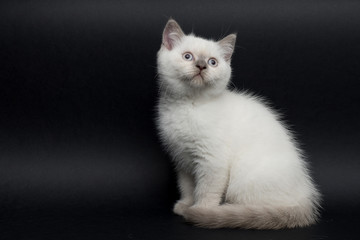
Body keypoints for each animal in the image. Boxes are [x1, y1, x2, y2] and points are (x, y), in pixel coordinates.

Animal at [156, 18, 320, 229]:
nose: (201, 66)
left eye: (212, 62)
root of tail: (305, 199)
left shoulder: (212, 160)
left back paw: (226, 211)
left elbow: (206, 190)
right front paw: (185, 205)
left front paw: (201, 210)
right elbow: (187, 187)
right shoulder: (182, 160)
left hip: (243, 176)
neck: (188, 105)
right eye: (187, 56)